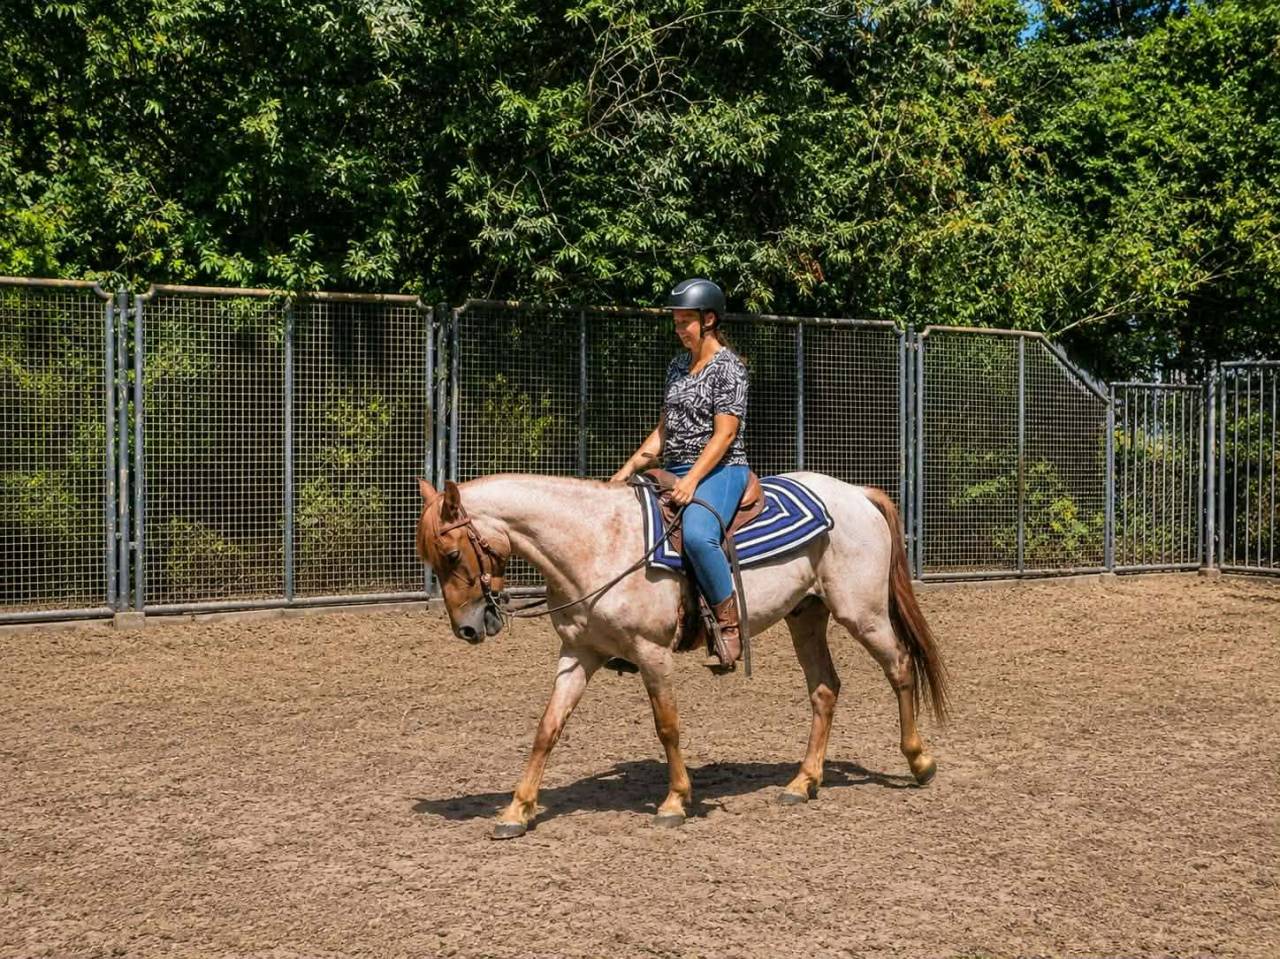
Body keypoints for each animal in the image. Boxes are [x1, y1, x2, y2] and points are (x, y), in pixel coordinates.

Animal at [415, 472, 949, 839]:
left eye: (453, 554)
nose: (467, 628)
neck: (597, 544)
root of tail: (857, 493)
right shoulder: (578, 653)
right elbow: (548, 729)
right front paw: (516, 811)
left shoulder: (652, 654)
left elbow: (667, 726)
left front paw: (675, 801)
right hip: (806, 616)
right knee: (824, 690)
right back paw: (803, 782)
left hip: (862, 613)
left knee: (900, 667)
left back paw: (919, 762)